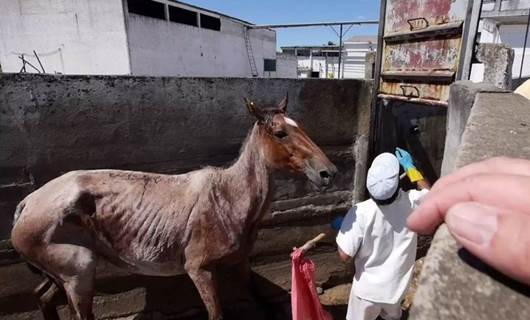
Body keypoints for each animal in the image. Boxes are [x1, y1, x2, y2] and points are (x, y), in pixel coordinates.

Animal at [11, 95, 334, 320]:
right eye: (280, 134)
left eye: (301, 128)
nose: (328, 173)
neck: (228, 197)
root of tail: (28, 202)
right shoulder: (200, 270)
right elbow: (216, 313)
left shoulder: (241, 262)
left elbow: (262, 300)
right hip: (78, 275)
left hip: (62, 274)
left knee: (43, 296)